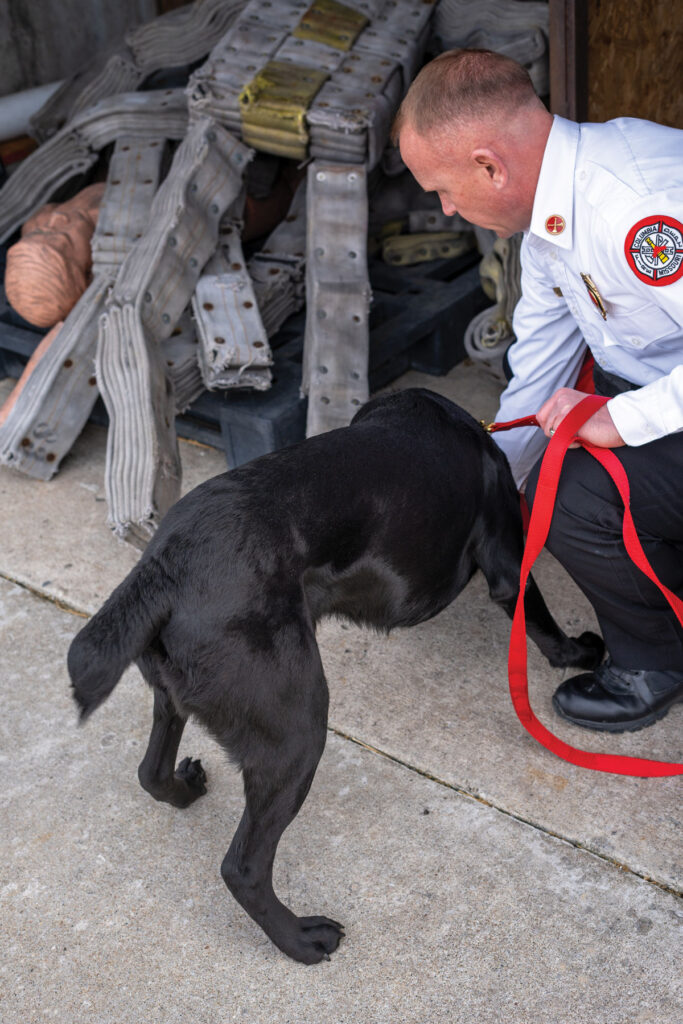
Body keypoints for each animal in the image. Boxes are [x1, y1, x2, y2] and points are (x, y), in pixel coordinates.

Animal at [68, 387, 602, 962]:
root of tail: (165, 566)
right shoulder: (507, 560)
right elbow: (542, 623)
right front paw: (579, 651)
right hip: (297, 730)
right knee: (243, 868)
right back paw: (301, 939)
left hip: (176, 697)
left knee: (150, 772)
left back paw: (185, 790)